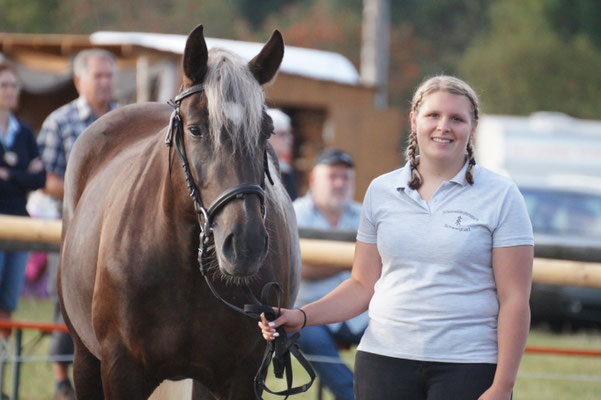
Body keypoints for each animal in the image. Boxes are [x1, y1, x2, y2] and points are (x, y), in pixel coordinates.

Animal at [58, 25, 300, 400]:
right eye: (196, 129)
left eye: (267, 131)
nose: (245, 245)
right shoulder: (121, 370)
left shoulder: (241, 378)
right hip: (85, 358)